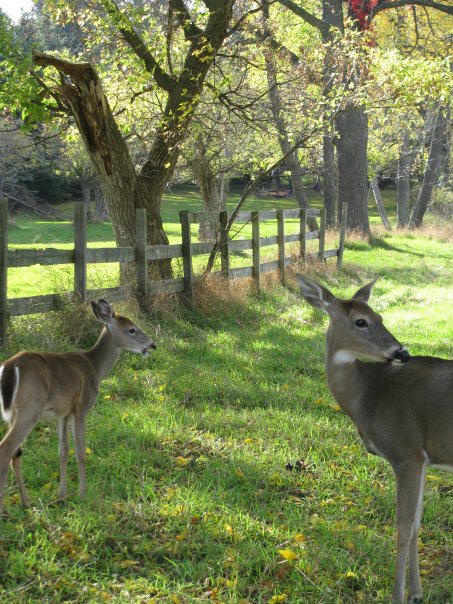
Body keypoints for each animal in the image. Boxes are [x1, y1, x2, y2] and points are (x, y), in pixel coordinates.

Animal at [0, 298, 155, 516]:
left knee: (15, 453)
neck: (95, 367)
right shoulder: (81, 408)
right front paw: (82, 494)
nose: (151, 345)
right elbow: (81, 450)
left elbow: (63, 451)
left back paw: (26, 502)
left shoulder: (63, 413)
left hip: (13, 414)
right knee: (6, 449)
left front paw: (62, 496)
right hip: (29, 409)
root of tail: (8, 367)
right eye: (132, 330)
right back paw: (5, 509)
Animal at [296, 274, 452, 604]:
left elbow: (403, 529)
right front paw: (416, 594)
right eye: (361, 321)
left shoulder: (407, 452)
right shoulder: (422, 460)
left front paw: (398, 596)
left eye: (380, 317)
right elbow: (416, 524)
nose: (402, 353)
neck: (365, 396)